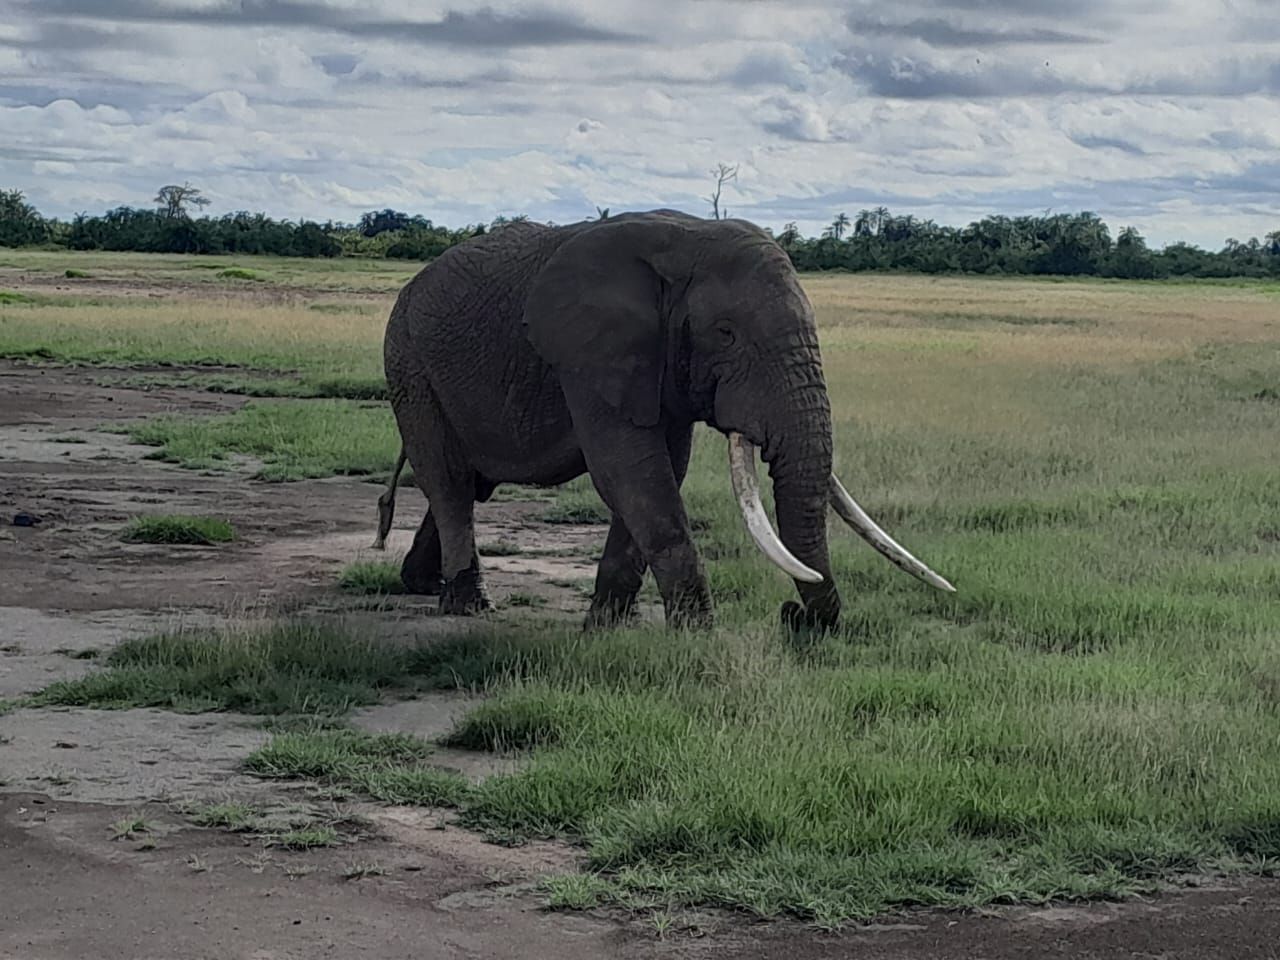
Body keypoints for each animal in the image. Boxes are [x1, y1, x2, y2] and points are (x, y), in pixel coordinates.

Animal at [373, 209, 954, 632]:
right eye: (725, 334)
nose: (794, 618)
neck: (688, 241)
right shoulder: (588, 356)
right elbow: (632, 473)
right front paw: (698, 634)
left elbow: (661, 471)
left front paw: (609, 627)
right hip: (408, 361)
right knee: (448, 481)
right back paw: (467, 605)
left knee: (468, 483)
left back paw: (420, 584)